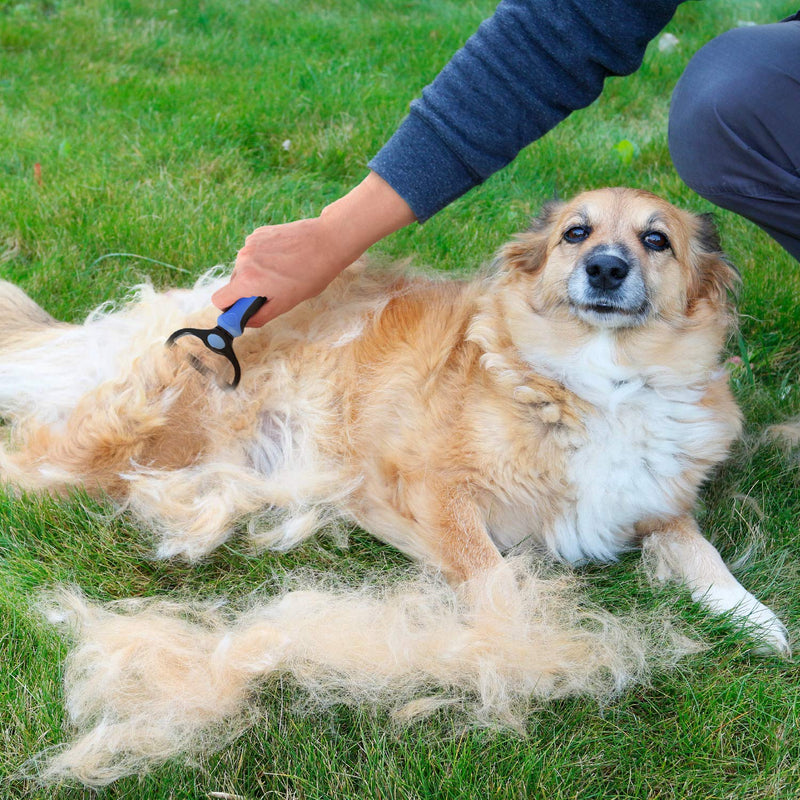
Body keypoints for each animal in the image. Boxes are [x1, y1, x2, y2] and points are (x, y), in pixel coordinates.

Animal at [0, 188, 788, 780]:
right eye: (577, 232)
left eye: (656, 240)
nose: (604, 268)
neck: (604, 383)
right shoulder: (441, 491)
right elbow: (495, 580)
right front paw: (521, 649)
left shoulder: (657, 504)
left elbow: (704, 557)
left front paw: (757, 620)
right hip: (121, 453)